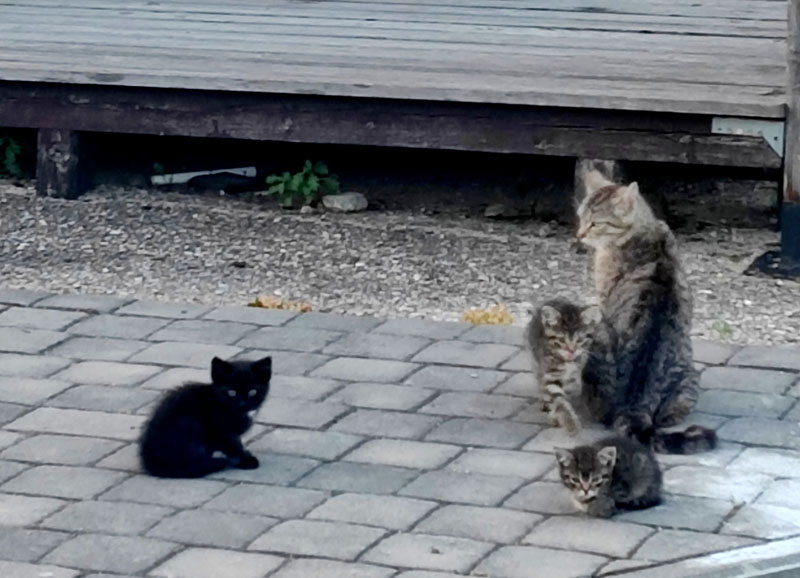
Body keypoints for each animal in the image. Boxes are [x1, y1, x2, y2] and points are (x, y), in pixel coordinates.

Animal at [140, 356, 272, 476]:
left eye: (253, 392)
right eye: (231, 392)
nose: (243, 404)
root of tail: (152, 464)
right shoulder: (219, 431)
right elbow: (232, 446)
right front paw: (244, 460)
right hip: (191, 424)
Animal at [524, 296, 600, 432]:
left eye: (579, 340)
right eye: (561, 340)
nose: (571, 350)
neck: (567, 362)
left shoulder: (572, 378)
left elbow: (565, 397)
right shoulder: (549, 375)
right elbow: (559, 401)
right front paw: (570, 423)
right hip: (534, 359)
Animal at [576, 173, 720, 452]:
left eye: (595, 223)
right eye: (580, 217)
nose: (579, 235)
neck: (643, 229)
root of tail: (636, 403)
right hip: (689, 379)